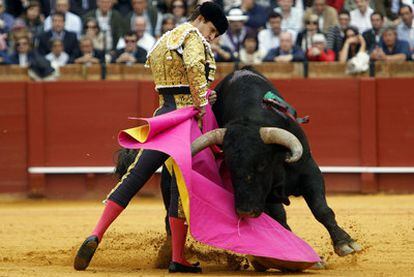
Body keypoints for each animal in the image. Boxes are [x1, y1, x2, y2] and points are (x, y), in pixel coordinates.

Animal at [115, 67, 362, 256]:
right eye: (231, 167)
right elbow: (279, 215)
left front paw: (345, 243)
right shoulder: (265, 195)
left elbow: (322, 209)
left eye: (262, 164)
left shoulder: (309, 170)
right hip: (169, 187)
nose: (245, 211)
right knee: (170, 220)